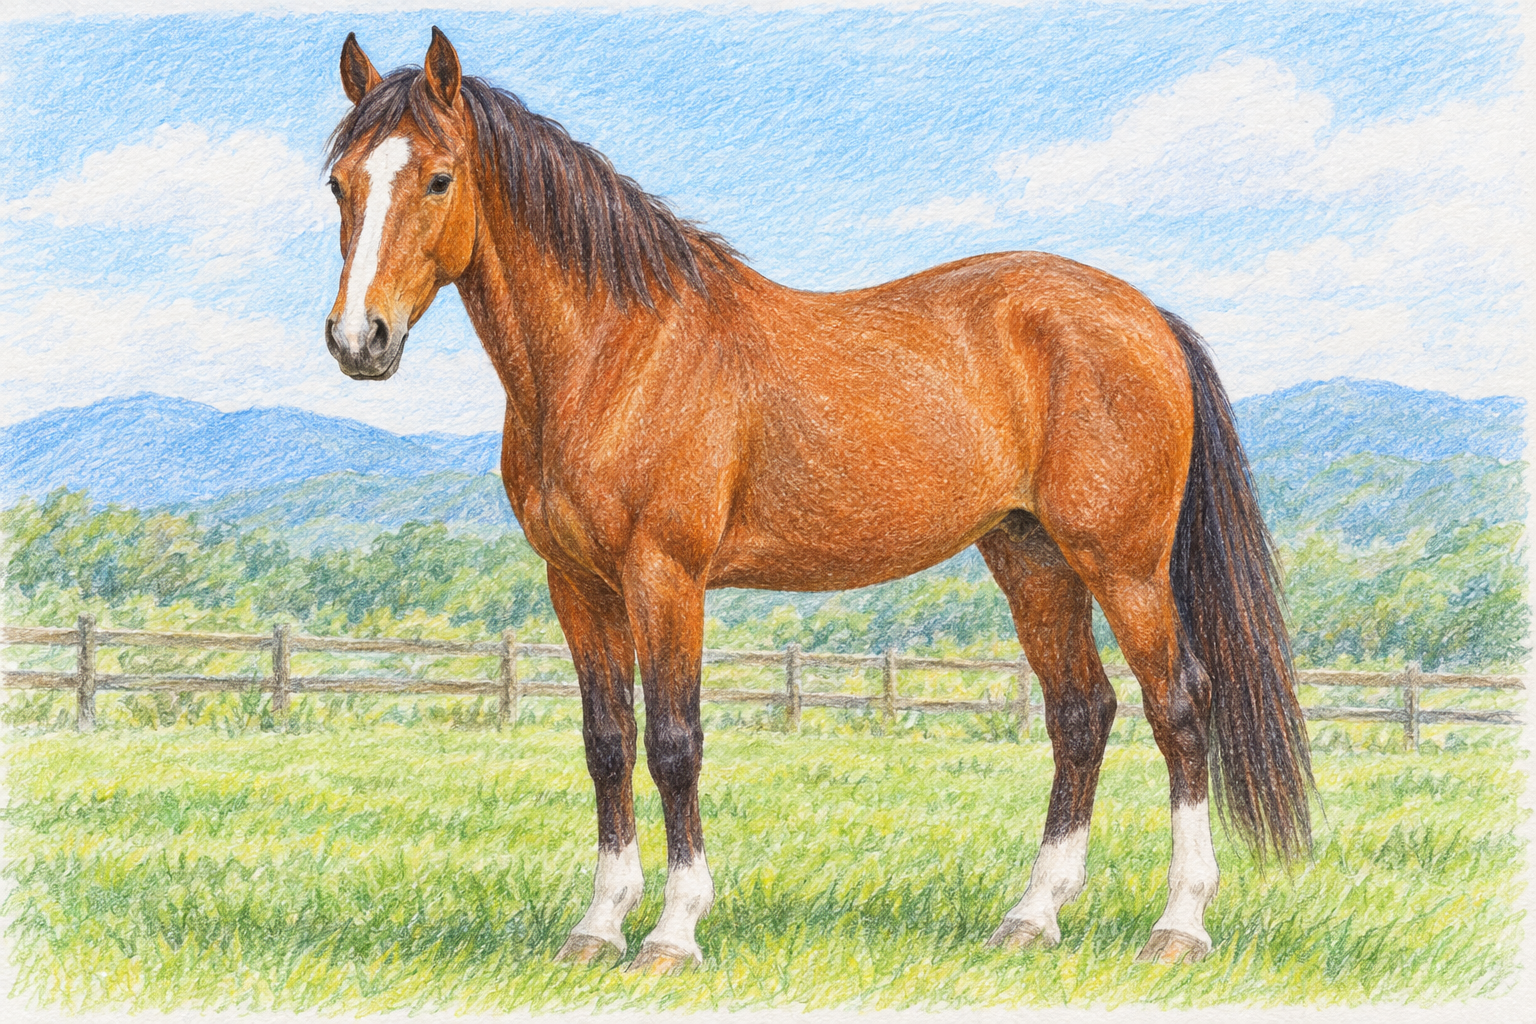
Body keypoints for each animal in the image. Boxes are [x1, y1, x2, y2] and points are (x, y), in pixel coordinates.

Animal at [322, 27, 1313, 973]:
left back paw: (1179, 924)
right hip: (1031, 556)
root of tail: (1147, 318)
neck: (619, 350)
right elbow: (607, 742)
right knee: (1080, 713)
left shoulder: (665, 575)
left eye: (440, 178)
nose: (359, 340)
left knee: (1178, 706)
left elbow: (673, 741)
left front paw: (673, 933)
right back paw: (1032, 918)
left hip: (1125, 563)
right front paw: (598, 927)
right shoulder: (579, 584)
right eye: (339, 183)